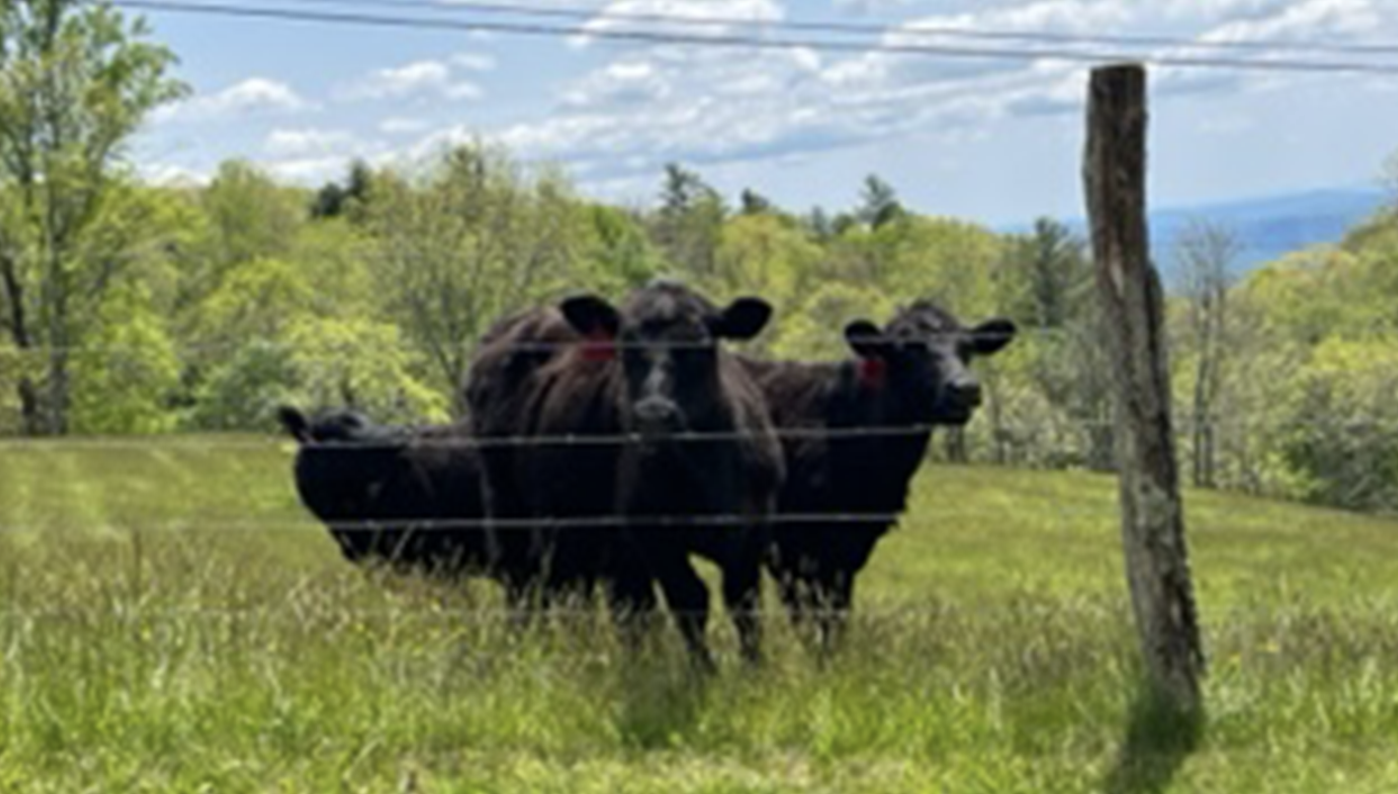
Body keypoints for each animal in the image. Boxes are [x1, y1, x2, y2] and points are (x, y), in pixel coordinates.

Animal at [469, 282, 788, 668]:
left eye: (699, 345)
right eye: (626, 347)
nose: (654, 414)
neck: (696, 476)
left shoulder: (751, 531)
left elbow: (744, 603)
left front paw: (754, 668)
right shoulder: (652, 534)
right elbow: (689, 598)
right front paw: (704, 670)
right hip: (512, 515)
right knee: (530, 588)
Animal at [743, 300, 1017, 648]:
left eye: (967, 348)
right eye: (909, 348)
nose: (965, 389)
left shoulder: (851, 545)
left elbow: (837, 612)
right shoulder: (789, 546)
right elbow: (806, 614)